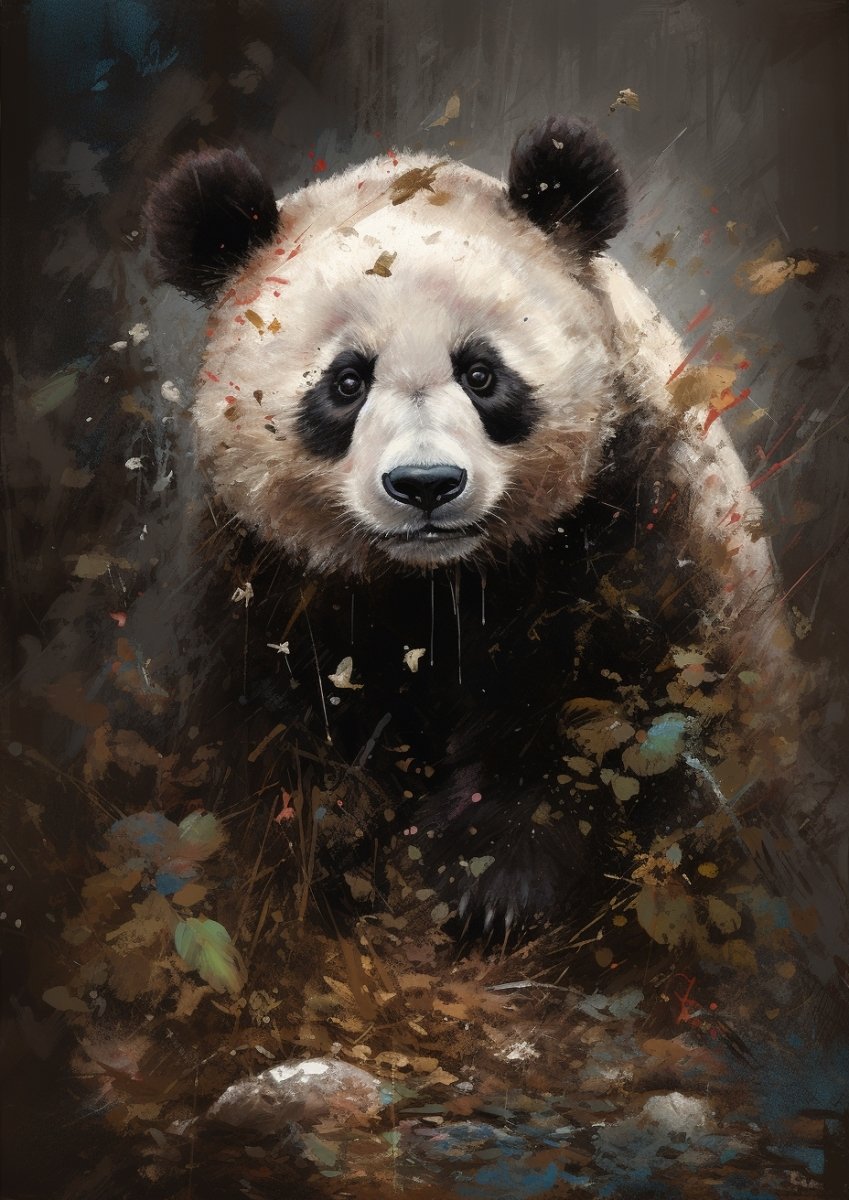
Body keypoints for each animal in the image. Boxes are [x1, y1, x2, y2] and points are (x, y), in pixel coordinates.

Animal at [145, 117, 796, 945]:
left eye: (481, 373)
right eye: (346, 381)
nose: (426, 485)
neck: (433, 582)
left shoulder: (635, 521)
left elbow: (620, 719)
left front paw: (483, 883)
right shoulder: (261, 578)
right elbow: (253, 746)